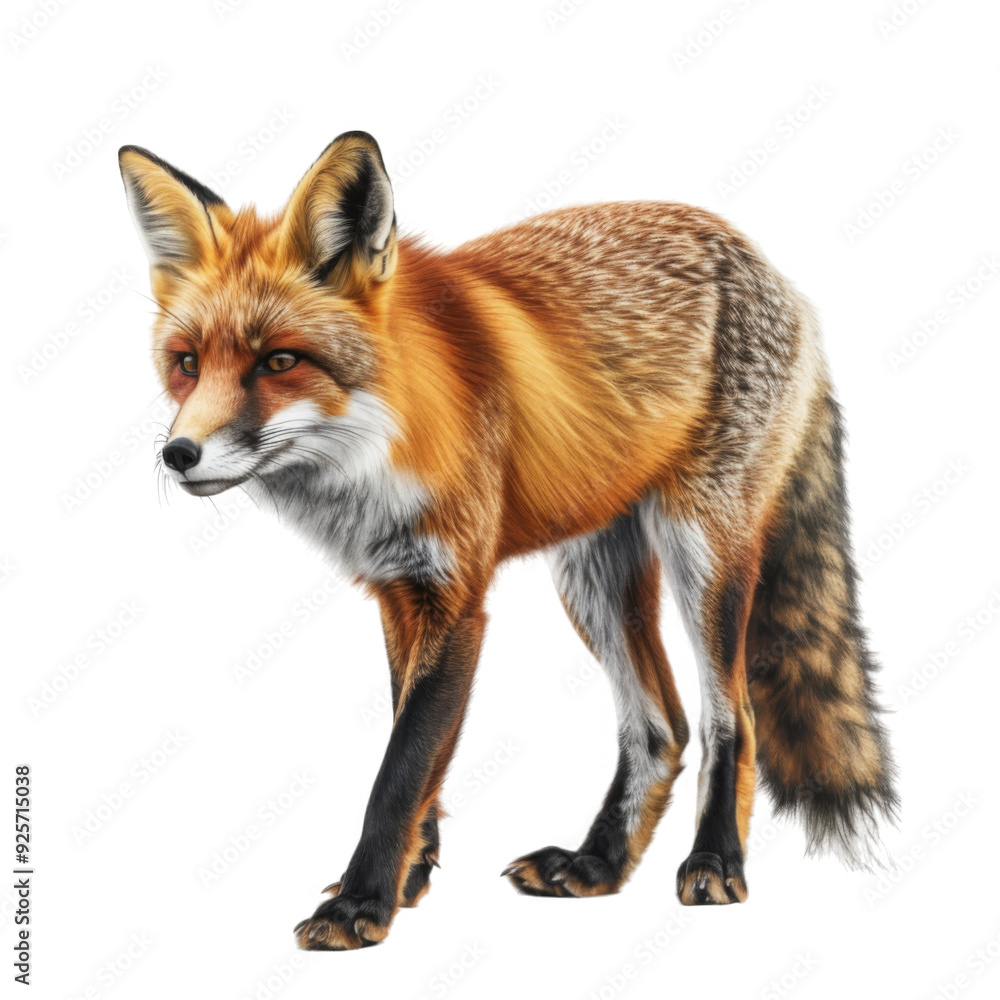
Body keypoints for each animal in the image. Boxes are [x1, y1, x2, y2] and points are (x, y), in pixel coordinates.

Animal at [118, 131, 898, 950]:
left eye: (278, 361)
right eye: (187, 364)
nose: (178, 454)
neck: (381, 445)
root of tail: (765, 262)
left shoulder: (456, 599)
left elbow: (399, 771)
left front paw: (361, 905)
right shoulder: (399, 591)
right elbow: (419, 760)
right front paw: (408, 883)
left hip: (702, 551)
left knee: (730, 719)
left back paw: (715, 862)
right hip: (591, 576)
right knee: (661, 727)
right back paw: (596, 865)